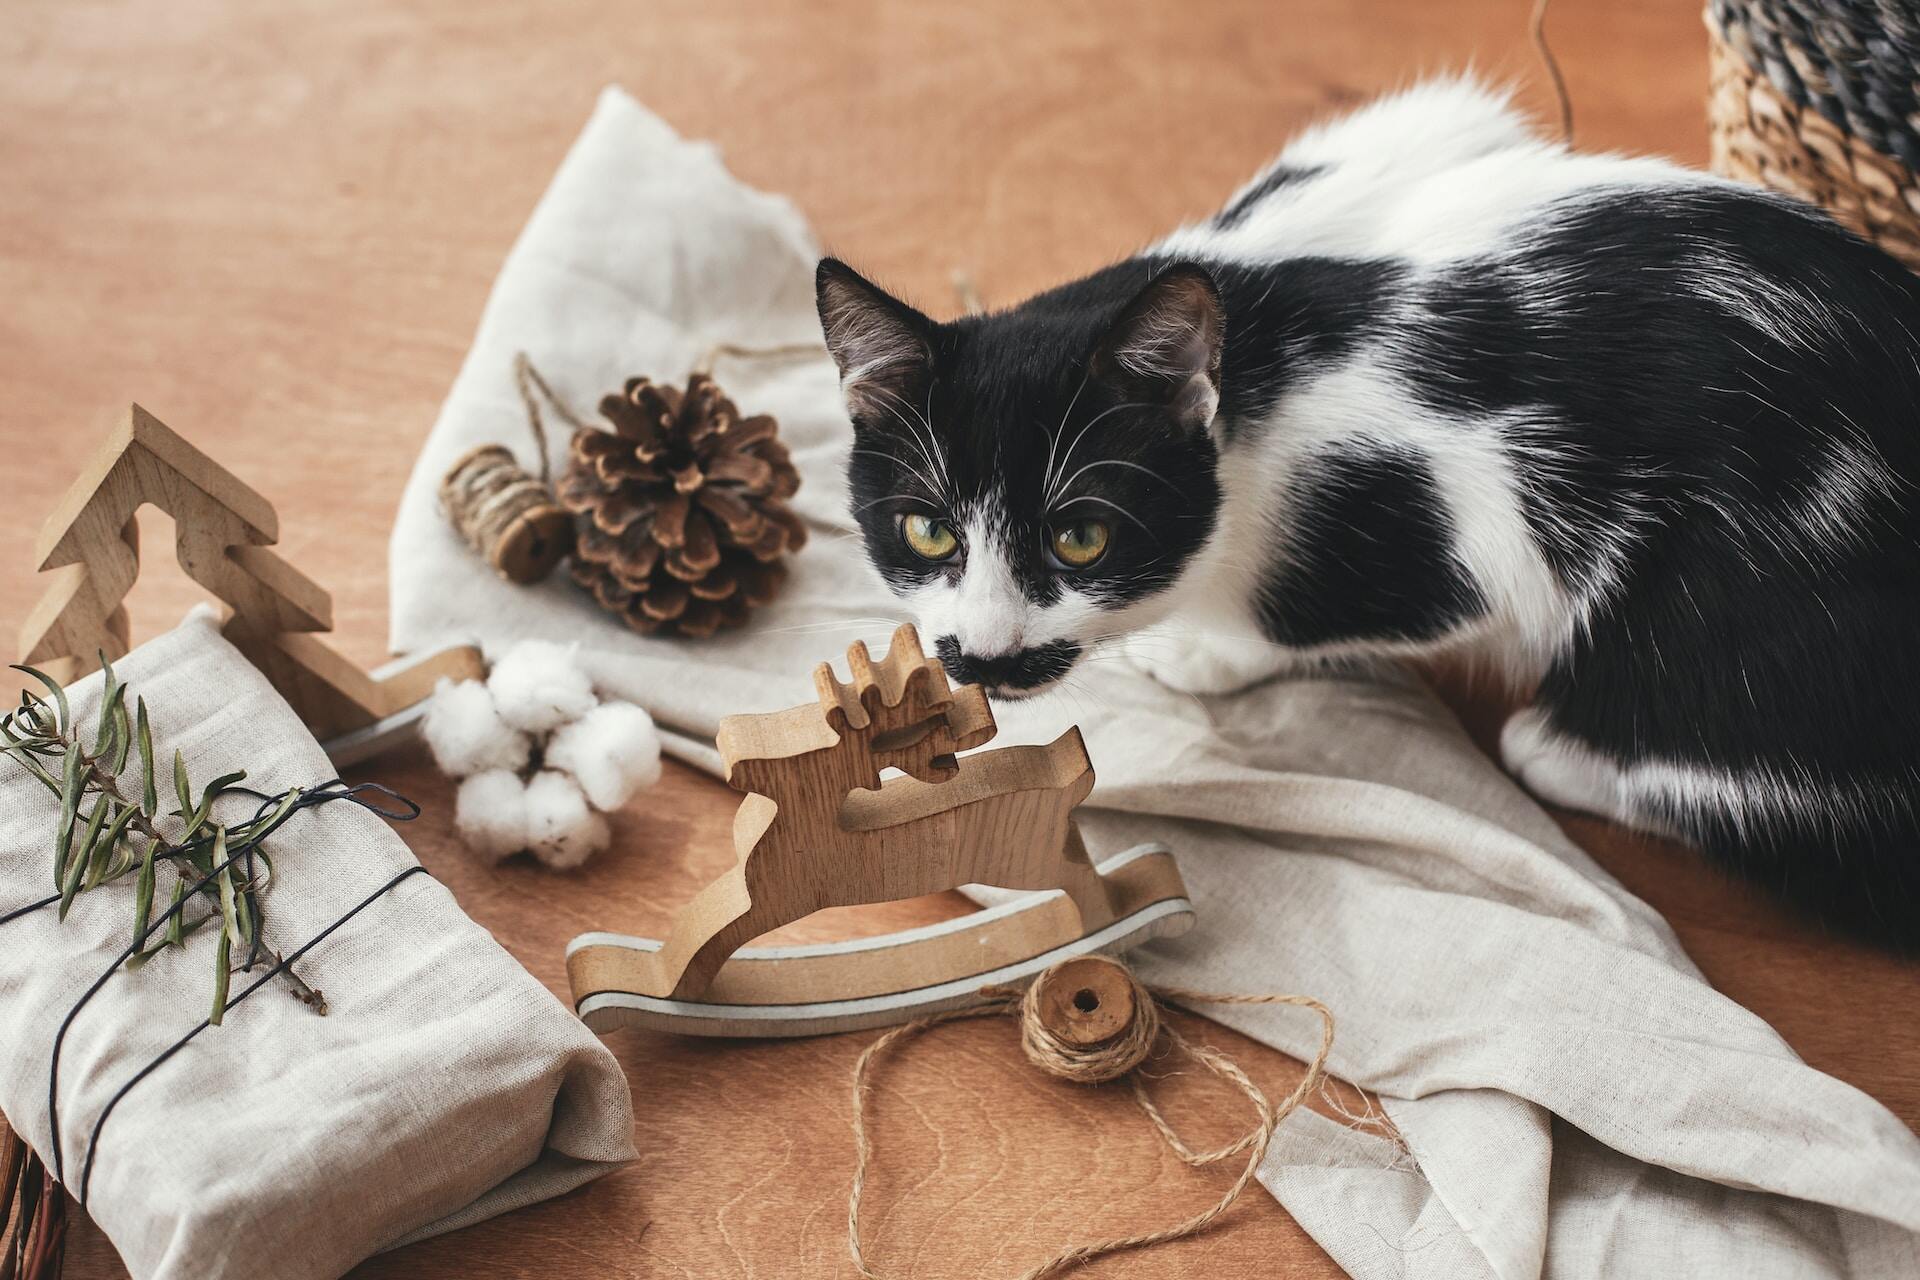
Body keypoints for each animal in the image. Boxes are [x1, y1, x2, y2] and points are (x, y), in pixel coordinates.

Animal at [814, 77, 1920, 940]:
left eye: (1081, 538)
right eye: (927, 529)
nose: (981, 653)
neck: (1254, 309)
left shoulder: (1461, 509)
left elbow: (1319, 609)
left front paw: (1204, 651)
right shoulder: (1431, 124)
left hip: (1745, 627)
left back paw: (1563, 747)